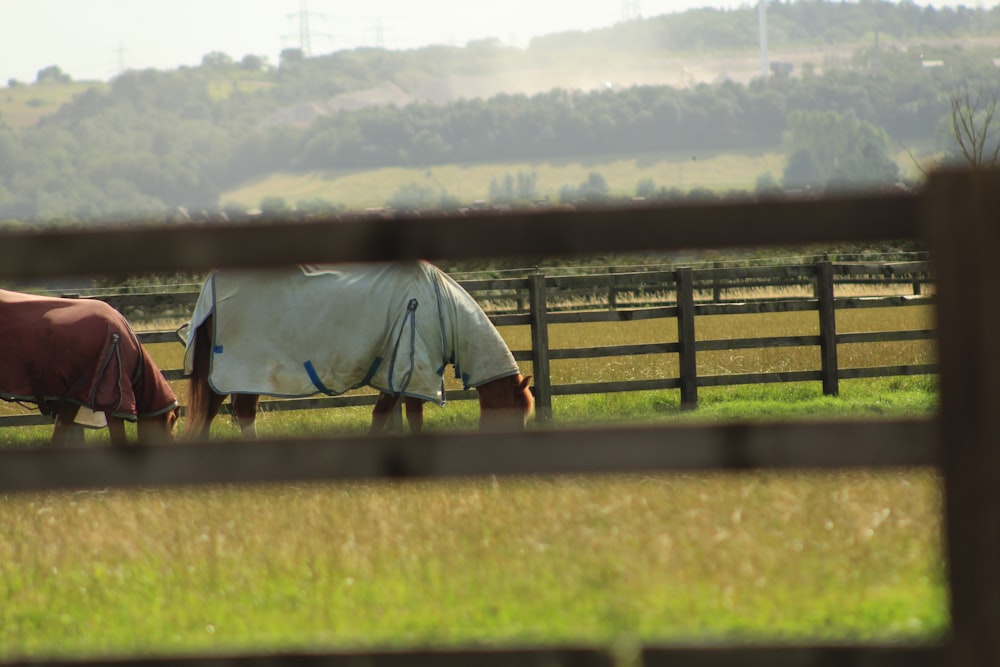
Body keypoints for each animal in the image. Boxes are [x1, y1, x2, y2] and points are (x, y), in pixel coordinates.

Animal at [184, 260, 536, 438]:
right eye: (516, 413)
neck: (436, 305)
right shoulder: (408, 374)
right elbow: (400, 417)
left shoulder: (399, 378)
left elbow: (391, 416)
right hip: (244, 371)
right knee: (238, 411)